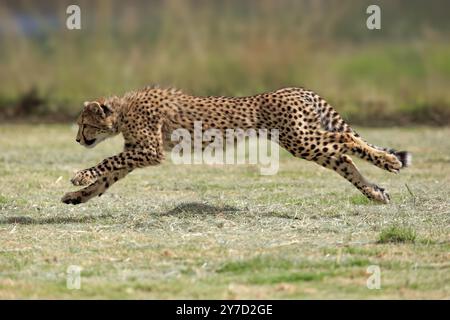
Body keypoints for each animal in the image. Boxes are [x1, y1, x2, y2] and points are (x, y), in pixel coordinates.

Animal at [62, 86, 412, 204]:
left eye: (83, 124)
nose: (77, 138)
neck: (122, 110)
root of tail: (296, 89)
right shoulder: (138, 154)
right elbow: (108, 178)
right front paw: (78, 197)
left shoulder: (149, 151)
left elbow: (105, 164)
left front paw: (79, 177)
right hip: (308, 143)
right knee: (345, 160)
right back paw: (376, 192)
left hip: (300, 140)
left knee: (347, 140)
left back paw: (391, 163)